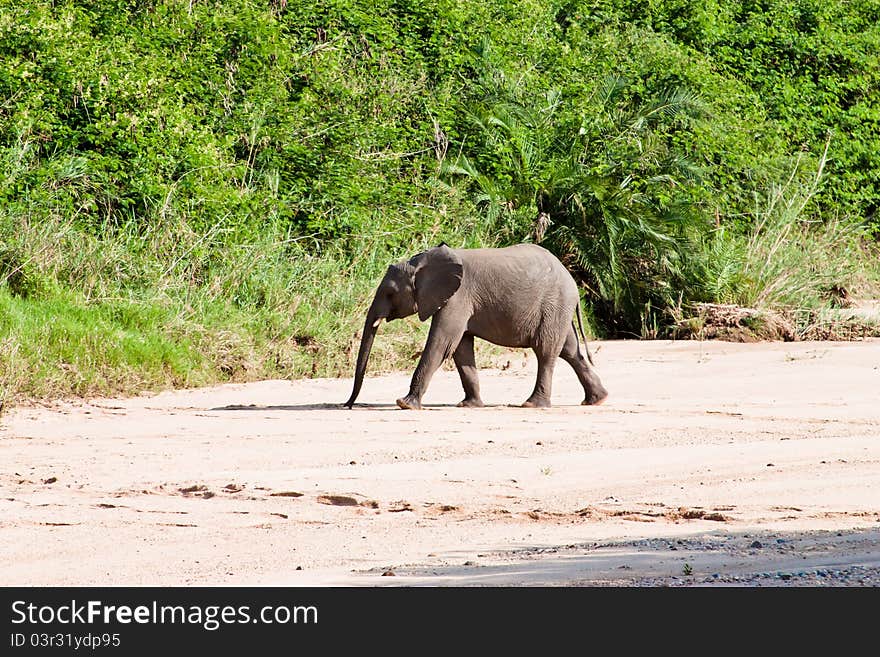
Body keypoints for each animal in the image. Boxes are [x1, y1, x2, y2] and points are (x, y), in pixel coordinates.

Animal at [342, 243, 604, 408]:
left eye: (390, 293)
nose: (348, 405)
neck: (421, 262)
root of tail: (572, 282)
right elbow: (461, 349)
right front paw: (468, 405)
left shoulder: (458, 297)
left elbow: (441, 344)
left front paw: (405, 404)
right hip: (557, 309)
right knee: (570, 351)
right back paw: (597, 400)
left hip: (554, 305)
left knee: (546, 352)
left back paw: (533, 405)